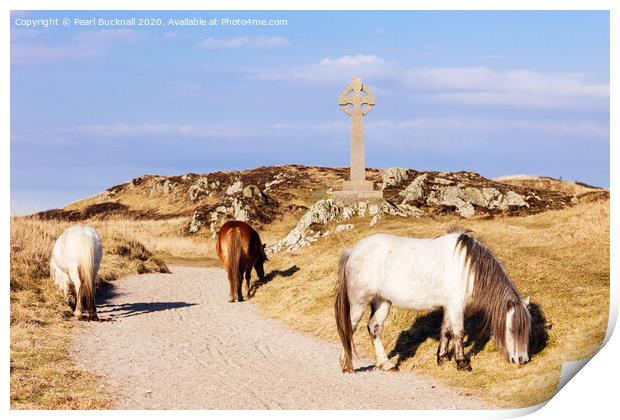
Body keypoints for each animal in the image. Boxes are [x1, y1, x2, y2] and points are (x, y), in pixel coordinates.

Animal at [334, 230, 532, 370]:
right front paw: (462, 363)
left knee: (374, 328)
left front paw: (442, 358)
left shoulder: (449, 306)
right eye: (512, 329)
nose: (522, 360)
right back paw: (347, 365)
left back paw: (386, 364)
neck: (467, 268)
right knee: (349, 328)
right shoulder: (456, 306)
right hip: (359, 302)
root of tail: (352, 251)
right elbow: (458, 333)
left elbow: (446, 330)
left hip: (382, 301)